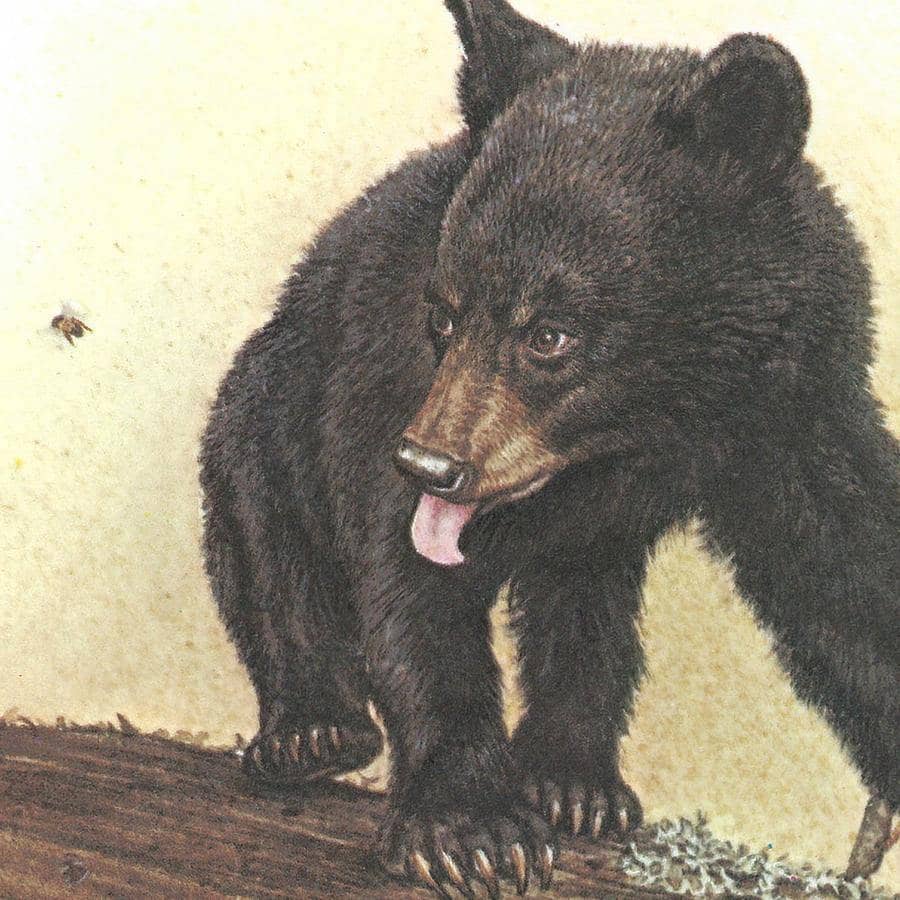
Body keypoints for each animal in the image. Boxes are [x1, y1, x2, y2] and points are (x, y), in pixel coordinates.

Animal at [199, 1, 899, 894]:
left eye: (551, 334)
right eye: (444, 313)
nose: (431, 465)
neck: (650, 422)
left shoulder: (793, 400)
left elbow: (848, 569)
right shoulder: (392, 373)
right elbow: (406, 581)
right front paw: (469, 828)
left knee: (585, 611)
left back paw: (573, 781)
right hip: (267, 406)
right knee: (267, 545)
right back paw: (314, 730)